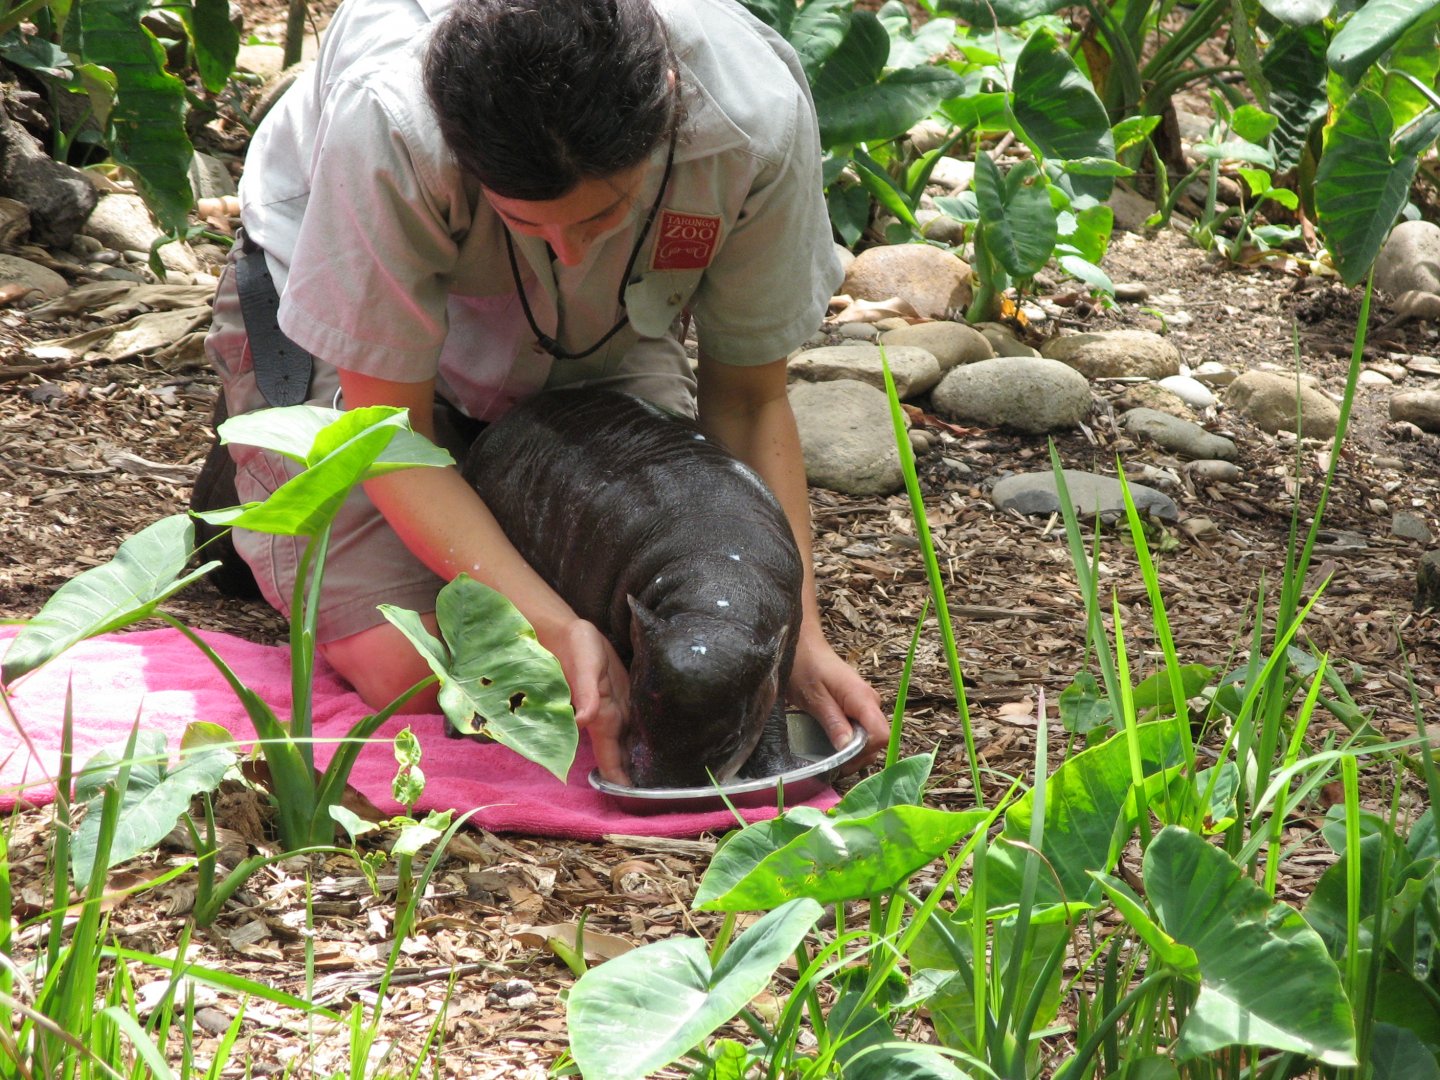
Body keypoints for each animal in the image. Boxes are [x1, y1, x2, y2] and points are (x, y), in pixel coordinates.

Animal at [459, 387, 803, 788]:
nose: (666, 789)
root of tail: (496, 427)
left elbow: (773, 711)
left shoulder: (783, 647)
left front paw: (782, 772)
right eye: (637, 704)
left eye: (730, 739)